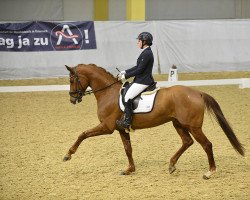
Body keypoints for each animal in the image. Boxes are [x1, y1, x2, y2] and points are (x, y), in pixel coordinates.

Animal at [63, 63, 245, 178]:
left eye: (72, 80)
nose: (72, 99)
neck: (108, 93)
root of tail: (198, 93)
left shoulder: (106, 127)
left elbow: (83, 134)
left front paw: (68, 155)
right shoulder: (121, 129)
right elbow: (128, 149)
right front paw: (130, 170)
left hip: (193, 126)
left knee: (206, 145)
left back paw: (210, 172)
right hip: (178, 124)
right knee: (187, 142)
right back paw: (171, 165)